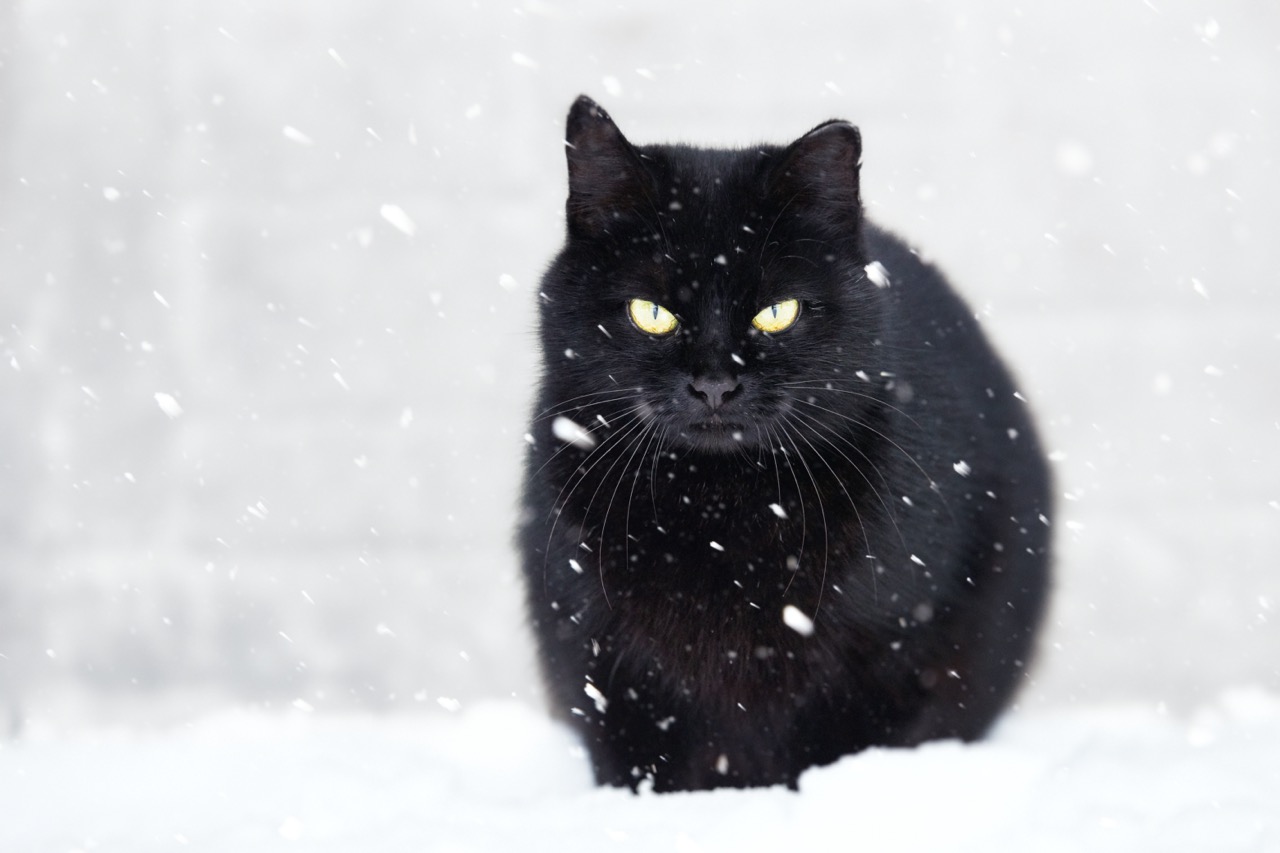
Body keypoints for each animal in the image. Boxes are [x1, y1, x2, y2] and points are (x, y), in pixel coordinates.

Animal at [514, 94, 1054, 788]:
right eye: (651, 313)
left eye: (778, 312)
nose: (715, 384)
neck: (716, 510)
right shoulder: (599, 648)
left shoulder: (899, 641)